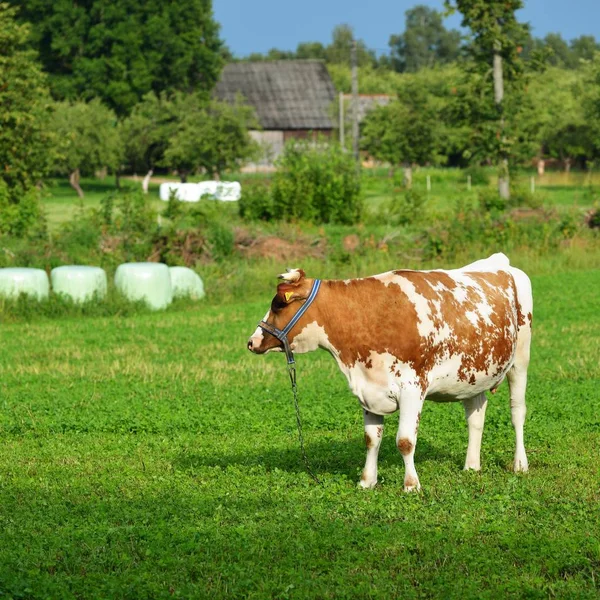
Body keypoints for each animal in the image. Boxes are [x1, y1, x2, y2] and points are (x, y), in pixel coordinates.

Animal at [246, 251, 532, 490]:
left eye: (278, 304)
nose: (252, 341)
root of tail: (500, 261)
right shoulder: (368, 388)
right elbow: (371, 439)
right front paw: (367, 482)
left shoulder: (412, 388)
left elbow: (405, 441)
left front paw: (411, 485)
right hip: (474, 373)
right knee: (476, 417)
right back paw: (471, 466)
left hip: (520, 360)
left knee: (517, 412)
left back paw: (520, 464)